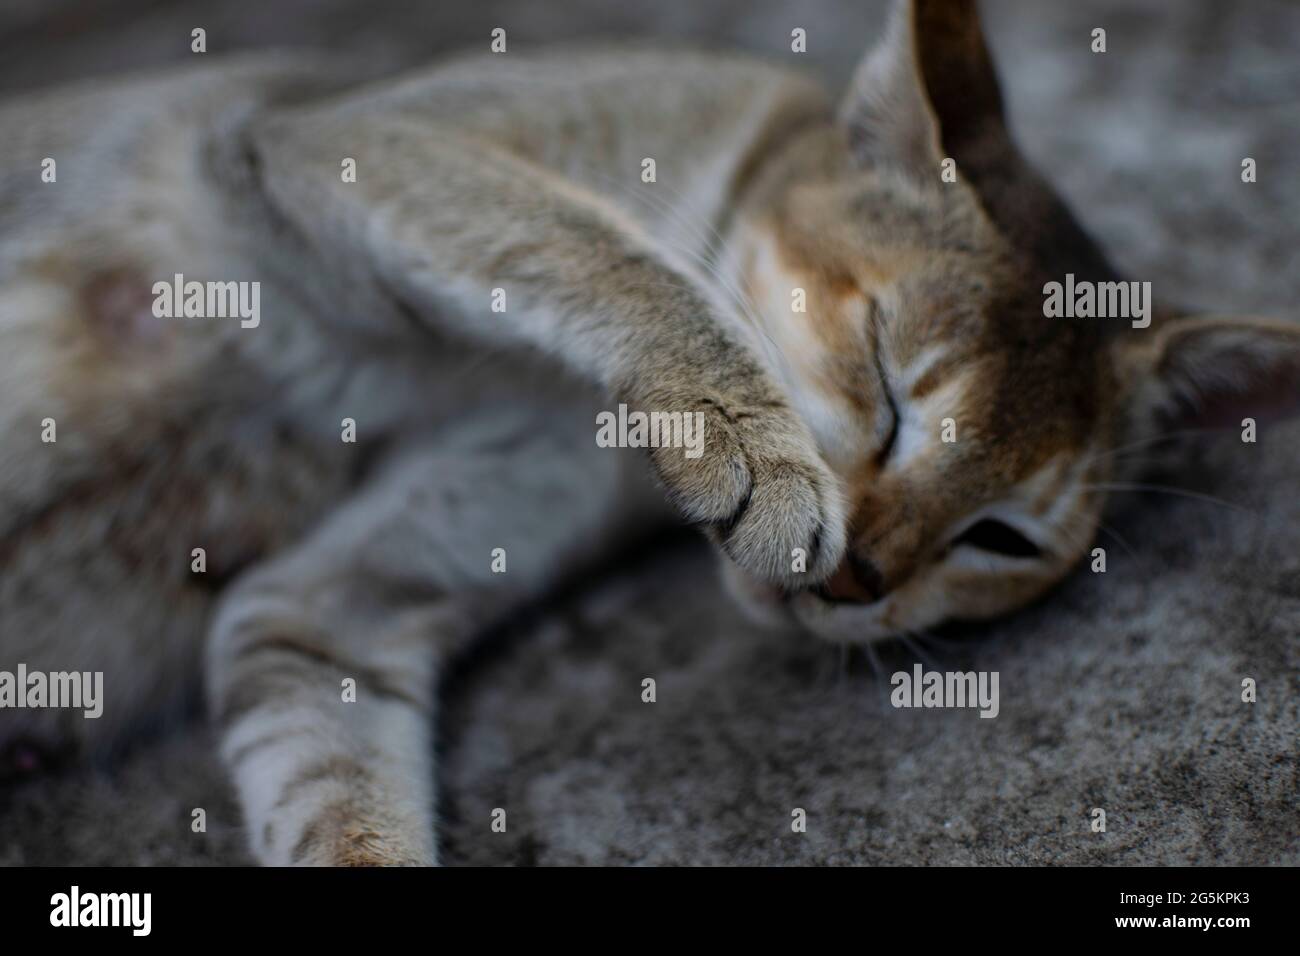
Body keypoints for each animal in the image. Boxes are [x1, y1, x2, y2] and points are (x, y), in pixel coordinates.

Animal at [2, 0, 1300, 863]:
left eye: (1002, 539)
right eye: (886, 382)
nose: (857, 578)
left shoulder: (330, 598)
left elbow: (338, 787)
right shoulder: (319, 142)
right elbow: (596, 245)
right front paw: (750, 437)